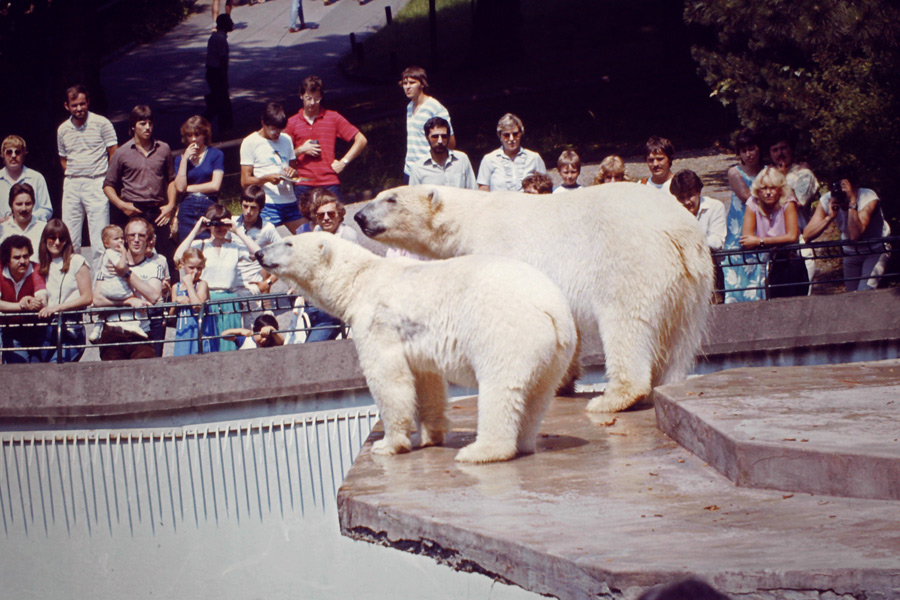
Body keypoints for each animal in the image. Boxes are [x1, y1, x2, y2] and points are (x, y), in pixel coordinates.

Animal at [253, 232, 576, 462]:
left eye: (289, 242)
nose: (259, 253)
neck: (360, 279)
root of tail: (551, 309)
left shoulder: (378, 323)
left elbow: (387, 378)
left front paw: (387, 444)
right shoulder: (415, 339)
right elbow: (426, 380)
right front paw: (430, 435)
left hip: (506, 331)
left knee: (501, 389)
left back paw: (480, 451)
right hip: (556, 350)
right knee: (538, 394)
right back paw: (524, 443)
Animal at [356, 183, 712, 412]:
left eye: (391, 199)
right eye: (379, 195)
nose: (359, 216)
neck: (472, 219)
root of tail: (680, 233)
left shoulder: (500, 249)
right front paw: (563, 381)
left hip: (632, 264)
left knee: (627, 325)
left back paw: (612, 399)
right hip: (693, 285)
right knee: (679, 340)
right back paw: (662, 388)